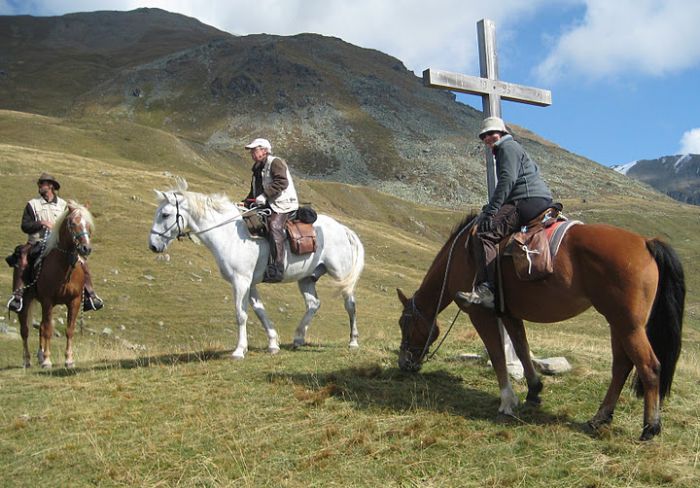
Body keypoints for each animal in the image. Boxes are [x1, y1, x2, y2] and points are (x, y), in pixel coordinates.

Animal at [18, 200, 95, 368]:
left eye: (88, 224)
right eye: (72, 223)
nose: (86, 248)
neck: (63, 267)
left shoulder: (74, 301)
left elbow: (69, 329)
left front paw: (69, 359)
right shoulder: (48, 300)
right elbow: (48, 330)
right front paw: (47, 360)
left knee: (40, 326)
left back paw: (39, 356)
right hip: (26, 301)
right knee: (25, 330)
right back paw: (27, 360)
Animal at [148, 179, 366, 358]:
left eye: (165, 214)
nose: (153, 246)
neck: (228, 234)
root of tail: (342, 228)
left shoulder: (240, 281)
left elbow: (241, 314)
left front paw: (239, 350)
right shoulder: (250, 283)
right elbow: (260, 312)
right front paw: (273, 344)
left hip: (340, 275)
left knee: (350, 304)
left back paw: (353, 341)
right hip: (306, 278)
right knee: (313, 304)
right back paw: (298, 338)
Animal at [400, 215, 684, 440]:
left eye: (404, 323)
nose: (404, 364)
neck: (461, 255)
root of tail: (646, 242)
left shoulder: (481, 315)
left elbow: (498, 354)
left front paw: (507, 402)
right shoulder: (510, 314)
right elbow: (521, 348)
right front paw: (534, 391)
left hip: (629, 326)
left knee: (649, 367)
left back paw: (650, 427)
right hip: (618, 324)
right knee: (621, 367)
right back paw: (600, 418)